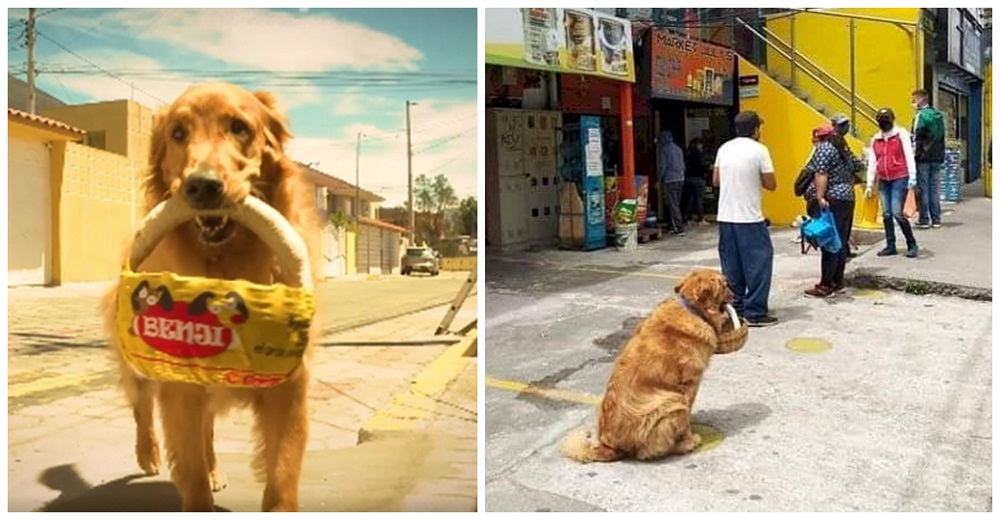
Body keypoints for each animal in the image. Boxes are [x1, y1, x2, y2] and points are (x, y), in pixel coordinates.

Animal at [100, 82, 322, 512]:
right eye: (178, 133)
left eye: (239, 127)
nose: (202, 185)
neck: (225, 264)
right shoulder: (180, 387)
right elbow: (192, 475)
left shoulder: (289, 388)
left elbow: (281, 478)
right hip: (138, 364)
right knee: (141, 405)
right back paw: (147, 453)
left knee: (205, 432)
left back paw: (215, 468)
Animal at [564, 270, 744, 462]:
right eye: (724, 285)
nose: (735, 296)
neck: (692, 309)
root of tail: (609, 447)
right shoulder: (688, 386)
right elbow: (687, 419)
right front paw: (689, 439)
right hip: (672, 401)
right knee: (648, 452)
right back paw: (682, 445)